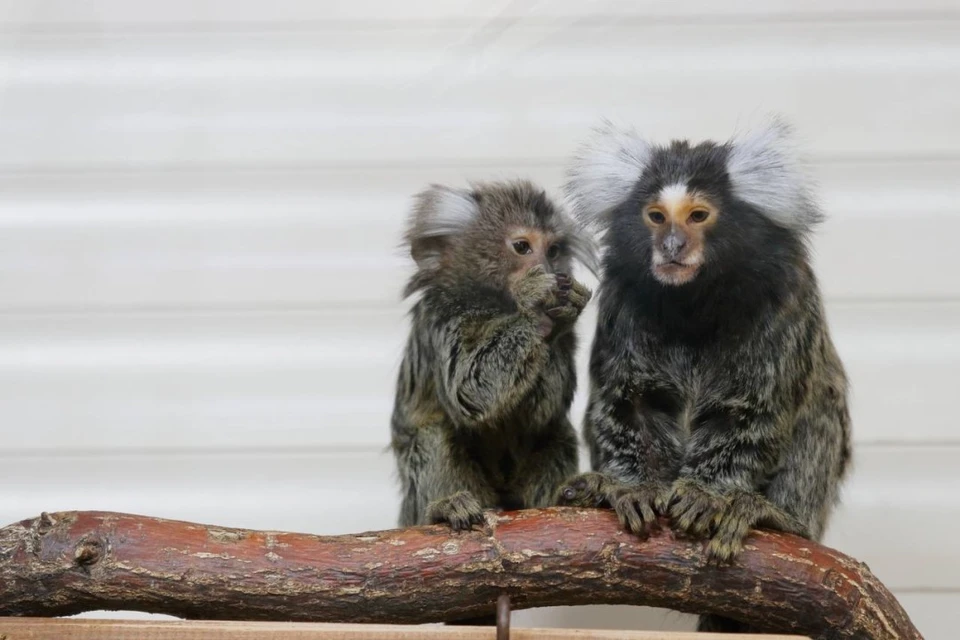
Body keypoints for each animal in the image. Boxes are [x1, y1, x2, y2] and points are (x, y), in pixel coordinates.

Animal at [390, 178, 592, 532]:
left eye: (553, 251)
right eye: (522, 247)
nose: (547, 268)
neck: (496, 307)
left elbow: (540, 414)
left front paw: (559, 320)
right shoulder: (442, 320)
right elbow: (469, 391)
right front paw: (533, 305)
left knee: (557, 433)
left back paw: (564, 498)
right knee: (432, 436)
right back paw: (442, 510)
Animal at [560, 120, 852, 636]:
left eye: (698, 216)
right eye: (656, 216)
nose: (672, 247)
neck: (694, 304)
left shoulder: (787, 302)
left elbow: (752, 414)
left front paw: (706, 495)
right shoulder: (621, 304)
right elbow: (627, 404)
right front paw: (632, 487)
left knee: (820, 411)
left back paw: (776, 518)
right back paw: (591, 490)